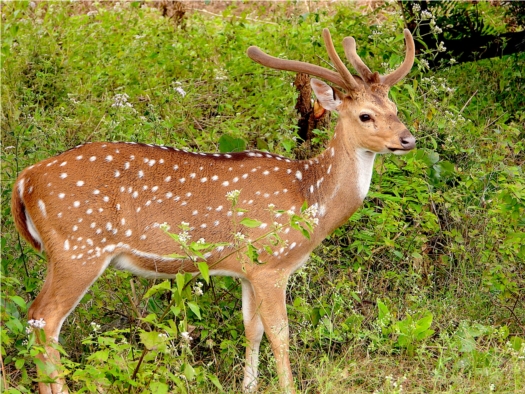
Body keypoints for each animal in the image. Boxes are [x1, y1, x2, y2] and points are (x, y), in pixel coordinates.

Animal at [11, 28, 414, 394]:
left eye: (395, 109)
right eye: (365, 116)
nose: (408, 139)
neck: (310, 200)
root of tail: (24, 180)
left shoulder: (247, 271)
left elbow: (251, 329)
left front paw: (249, 386)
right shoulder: (271, 262)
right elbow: (280, 334)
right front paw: (286, 387)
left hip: (60, 253)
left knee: (33, 317)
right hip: (79, 247)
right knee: (46, 320)